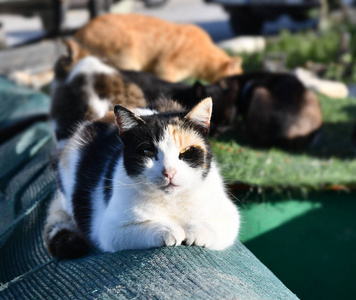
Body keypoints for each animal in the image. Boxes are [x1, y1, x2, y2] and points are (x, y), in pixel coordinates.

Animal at [43, 98, 239, 258]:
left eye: (186, 151)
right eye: (147, 152)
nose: (169, 172)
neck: (172, 202)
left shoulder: (229, 214)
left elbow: (219, 226)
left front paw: (197, 231)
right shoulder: (109, 230)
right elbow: (145, 227)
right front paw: (168, 229)